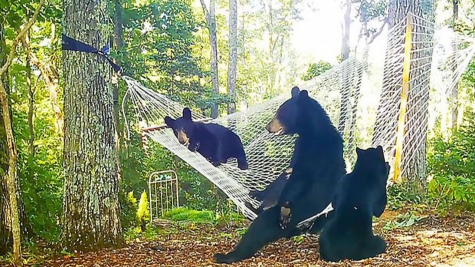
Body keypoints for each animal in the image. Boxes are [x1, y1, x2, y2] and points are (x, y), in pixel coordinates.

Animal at [216, 86, 346, 264]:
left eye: (280, 113)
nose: (267, 127)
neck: (312, 131)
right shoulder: (299, 147)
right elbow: (287, 172)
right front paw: (257, 193)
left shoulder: (317, 152)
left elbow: (301, 177)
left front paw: (284, 207)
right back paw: (252, 204)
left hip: (298, 212)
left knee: (260, 229)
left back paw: (227, 255)